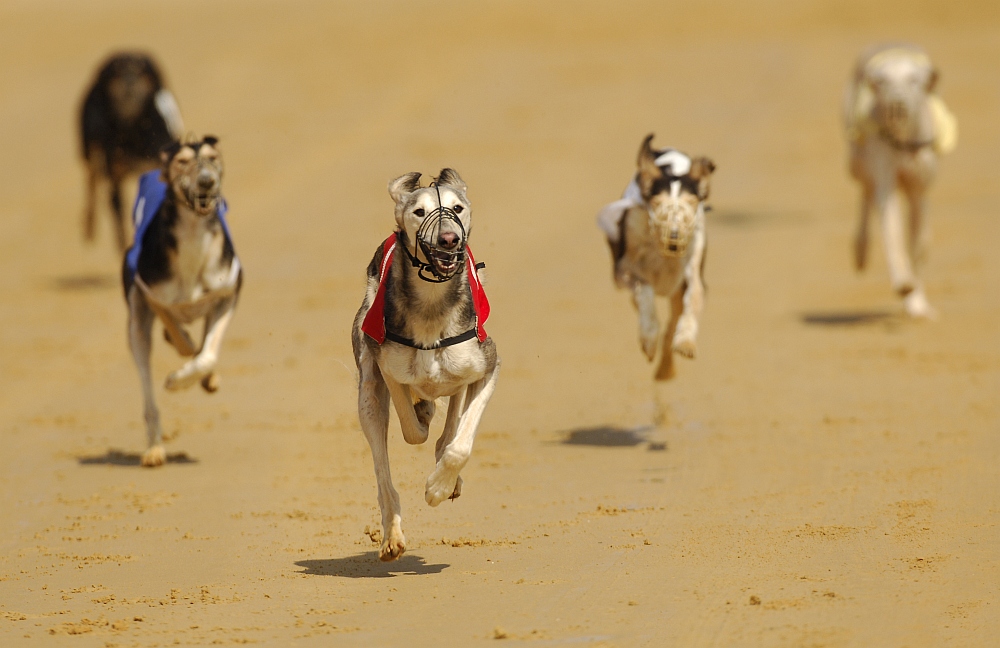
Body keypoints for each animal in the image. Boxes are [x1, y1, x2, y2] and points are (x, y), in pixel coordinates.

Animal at [80, 51, 184, 251]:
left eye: (141, 70)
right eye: (116, 71)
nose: (129, 80)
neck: (133, 130)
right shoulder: (115, 181)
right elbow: (121, 224)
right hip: (89, 151)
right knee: (91, 182)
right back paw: (89, 230)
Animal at [122, 137, 241, 468]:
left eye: (213, 157)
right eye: (182, 161)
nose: (207, 181)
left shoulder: (227, 294)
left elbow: (207, 355)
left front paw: (198, 375)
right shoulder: (152, 296)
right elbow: (182, 337)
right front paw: (177, 379)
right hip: (136, 329)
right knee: (148, 391)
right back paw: (154, 449)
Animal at [352, 170, 500, 560]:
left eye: (457, 207)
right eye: (419, 211)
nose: (449, 239)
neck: (433, 306)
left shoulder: (487, 366)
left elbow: (458, 444)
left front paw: (438, 487)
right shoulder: (387, 370)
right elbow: (412, 430)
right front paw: (421, 416)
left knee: (451, 428)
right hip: (367, 395)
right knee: (384, 474)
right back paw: (391, 537)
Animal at [596, 135, 716, 380]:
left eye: (691, 203)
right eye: (657, 203)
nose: (674, 238)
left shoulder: (692, 274)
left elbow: (694, 298)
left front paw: (686, 343)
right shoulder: (624, 273)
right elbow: (645, 292)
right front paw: (649, 340)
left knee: (672, 323)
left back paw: (666, 369)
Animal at [844, 43, 960, 318]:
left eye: (913, 80)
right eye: (883, 81)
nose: (897, 105)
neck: (903, 140)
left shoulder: (918, 189)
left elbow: (918, 245)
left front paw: (918, 304)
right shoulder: (886, 183)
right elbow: (893, 234)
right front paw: (904, 285)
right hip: (856, 162)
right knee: (866, 191)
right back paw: (860, 251)